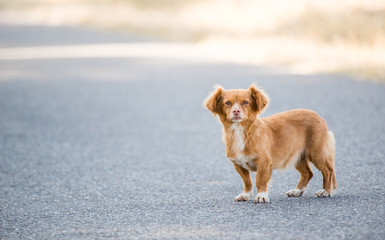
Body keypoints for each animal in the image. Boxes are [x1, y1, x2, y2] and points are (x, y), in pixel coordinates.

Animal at [202, 84, 334, 202]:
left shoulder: (264, 162)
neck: (240, 132)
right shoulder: (238, 164)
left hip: (316, 153)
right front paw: (246, 195)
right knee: (308, 173)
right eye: (228, 103)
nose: (236, 111)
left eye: (245, 102)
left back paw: (325, 191)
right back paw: (297, 191)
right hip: (297, 156)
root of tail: (318, 116)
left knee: (328, 171)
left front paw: (261, 196)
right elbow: (247, 181)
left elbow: (260, 180)